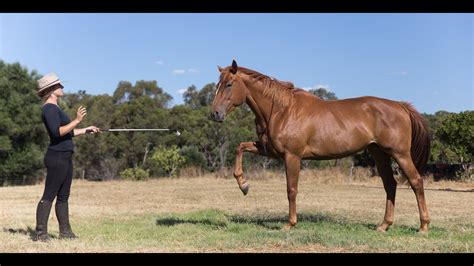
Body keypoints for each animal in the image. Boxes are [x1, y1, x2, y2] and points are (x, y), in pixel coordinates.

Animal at [210, 59, 430, 233]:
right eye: (218, 85)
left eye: (229, 84)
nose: (215, 114)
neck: (282, 110)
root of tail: (400, 106)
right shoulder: (270, 151)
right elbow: (240, 147)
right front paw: (244, 185)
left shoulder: (292, 156)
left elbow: (291, 189)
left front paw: (290, 223)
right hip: (380, 154)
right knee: (390, 184)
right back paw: (384, 225)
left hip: (400, 154)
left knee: (416, 182)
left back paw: (423, 226)